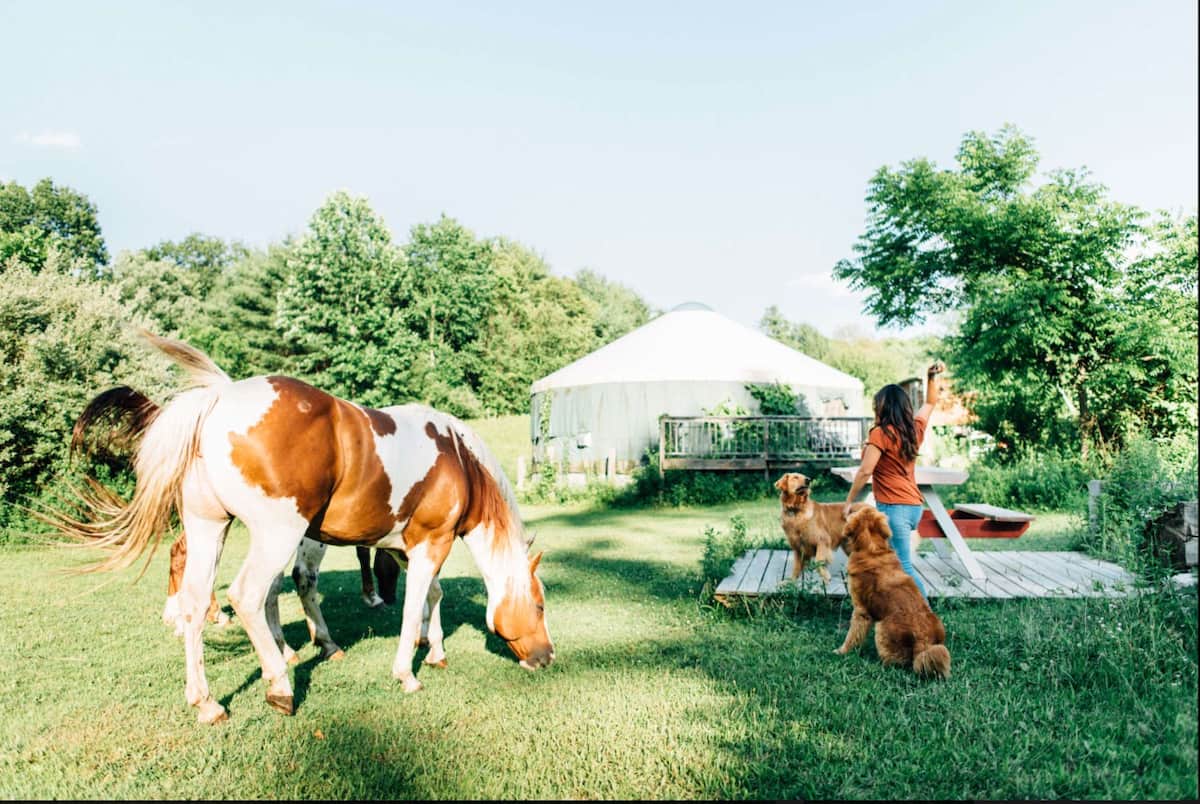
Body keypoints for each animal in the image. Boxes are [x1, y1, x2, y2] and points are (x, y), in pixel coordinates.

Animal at [51, 332, 554, 724]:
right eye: (540, 605)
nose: (547, 657)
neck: (458, 460)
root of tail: (219, 399)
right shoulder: (431, 543)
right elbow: (415, 606)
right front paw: (408, 671)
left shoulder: (404, 549)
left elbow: (431, 595)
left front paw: (435, 650)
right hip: (276, 535)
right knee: (249, 595)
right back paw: (280, 686)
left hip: (210, 527)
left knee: (196, 602)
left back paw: (207, 702)